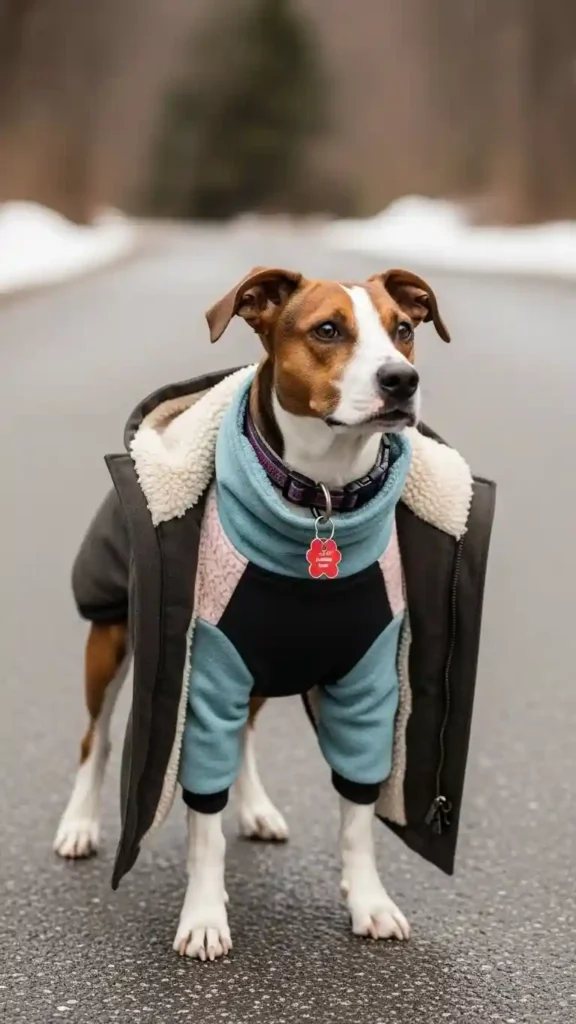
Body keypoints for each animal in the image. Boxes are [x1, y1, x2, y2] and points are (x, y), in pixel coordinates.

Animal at [54, 266, 450, 961]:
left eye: (403, 329)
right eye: (328, 330)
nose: (401, 380)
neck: (323, 500)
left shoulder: (366, 685)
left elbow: (357, 812)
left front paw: (369, 901)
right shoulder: (207, 679)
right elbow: (203, 821)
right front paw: (204, 916)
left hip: (262, 670)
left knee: (243, 738)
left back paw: (256, 808)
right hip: (110, 642)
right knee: (95, 739)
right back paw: (78, 823)